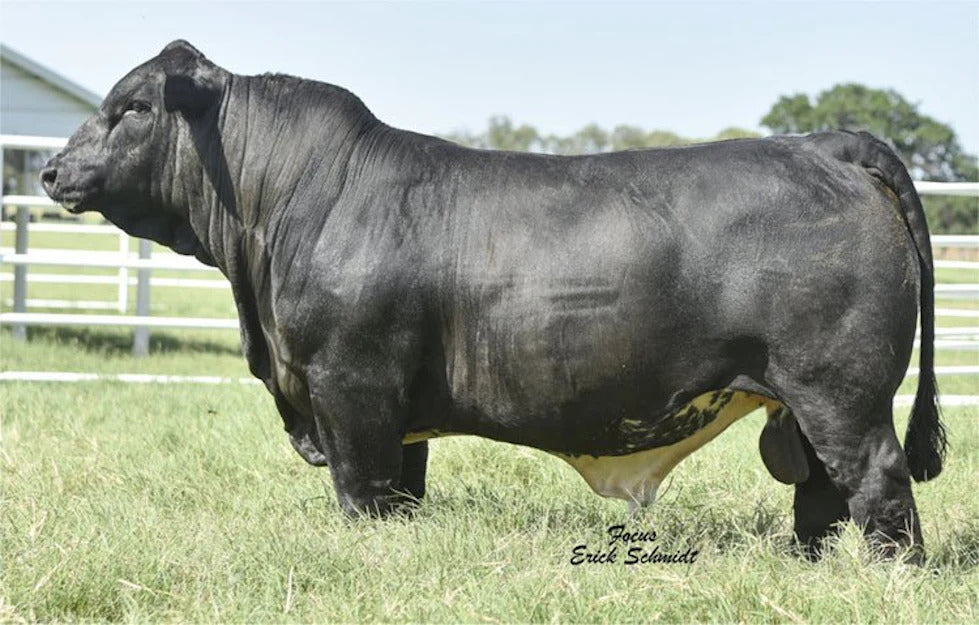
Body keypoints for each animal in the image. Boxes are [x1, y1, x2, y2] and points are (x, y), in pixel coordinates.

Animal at [42, 40, 946, 560]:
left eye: (131, 108)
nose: (51, 169)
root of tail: (826, 144)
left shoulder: (349, 390)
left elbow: (362, 494)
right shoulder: (392, 412)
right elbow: (400, 494)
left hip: (839, 389)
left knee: (876, 480)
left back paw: (883, 574)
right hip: (804, 400)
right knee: (820, 492)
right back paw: (809, 566)